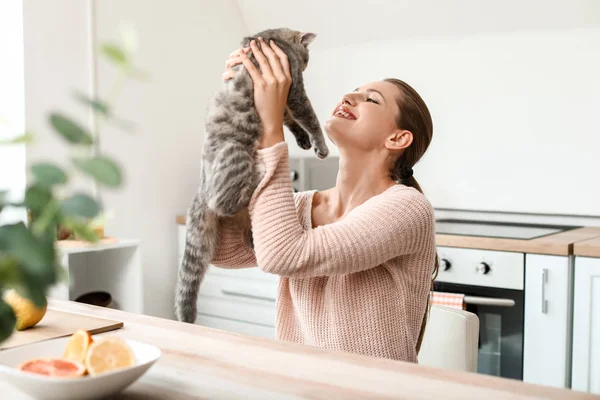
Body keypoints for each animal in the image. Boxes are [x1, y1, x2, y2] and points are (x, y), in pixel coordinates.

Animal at [173, 28, 328, 322]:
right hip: (236, 152)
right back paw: (261, 175)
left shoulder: (286, 100)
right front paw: (319, 144)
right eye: (306, 59)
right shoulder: (296, 92)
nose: (306, 65)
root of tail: (200, 190)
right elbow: (309, 118)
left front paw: (302, 140)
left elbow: (290, 120)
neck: (272, 38)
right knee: (221, 201)